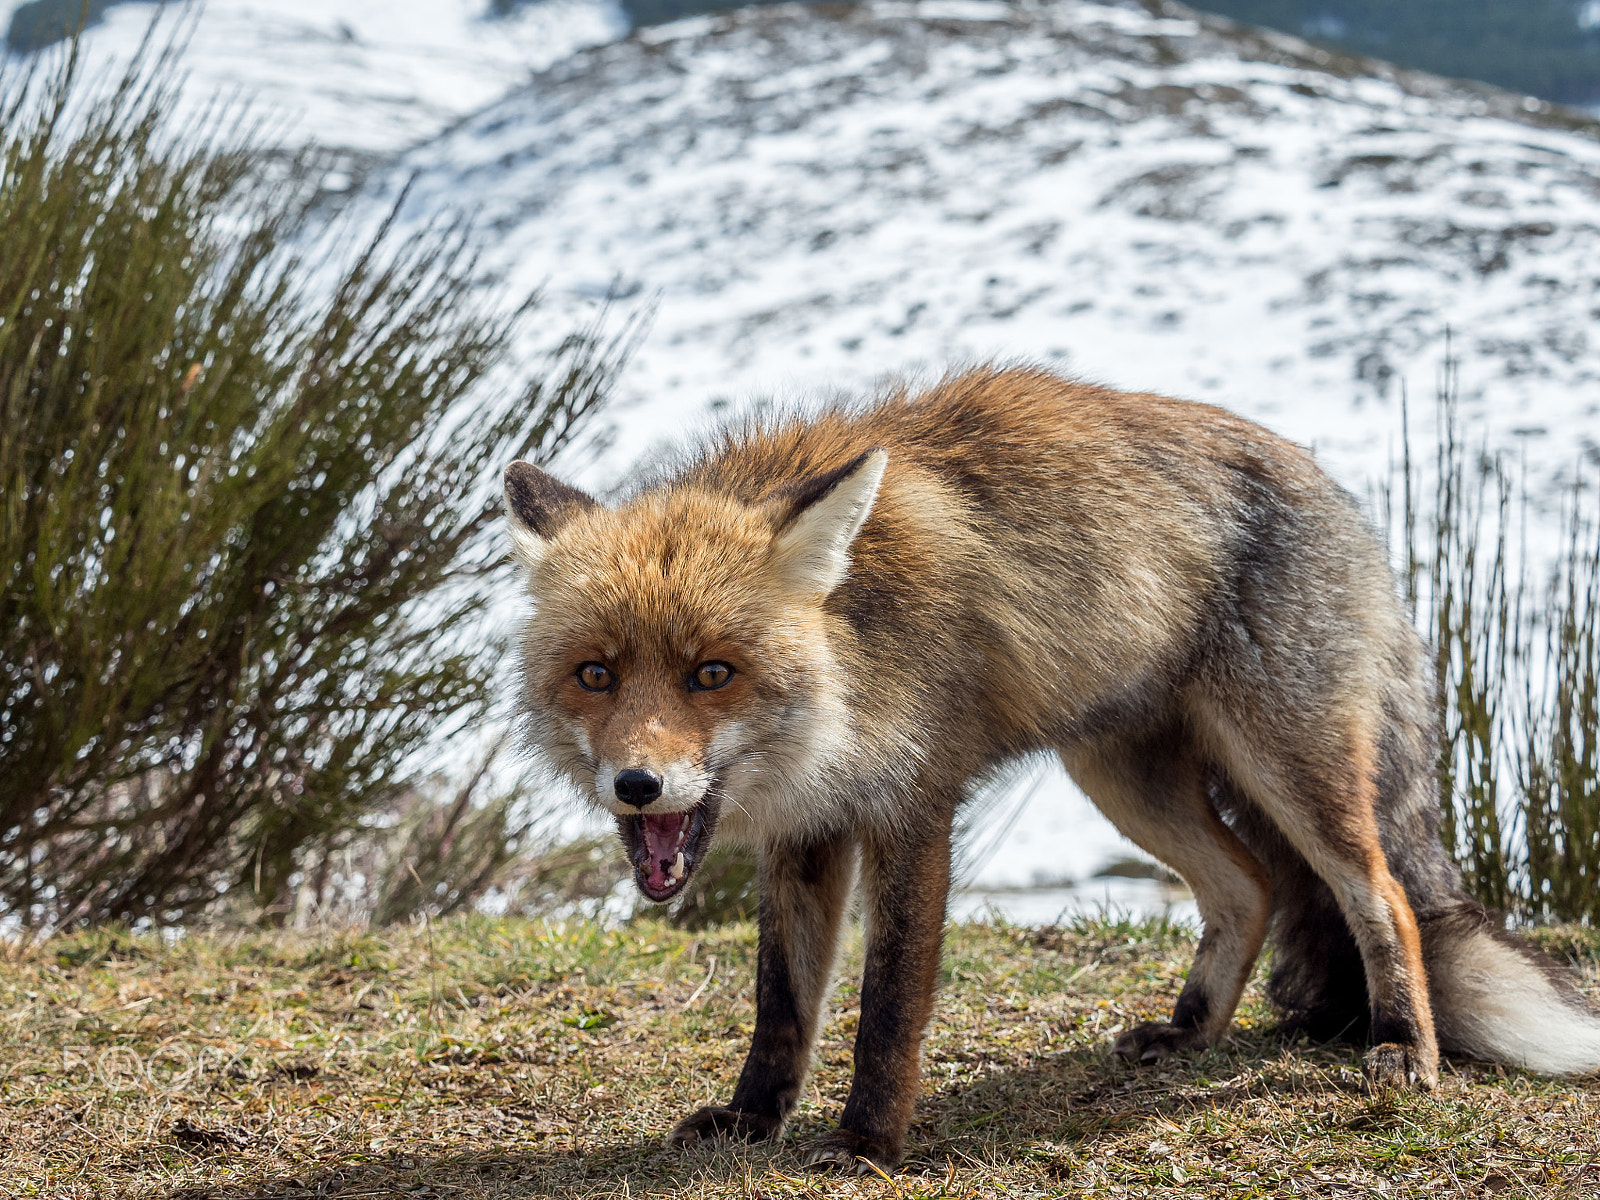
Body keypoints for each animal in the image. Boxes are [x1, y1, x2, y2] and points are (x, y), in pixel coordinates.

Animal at [502, 365, 1600, 1173]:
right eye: (595, 673)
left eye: (712, 673)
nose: (636, 786)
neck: (852, 653)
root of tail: (1335, 490)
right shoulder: (808, 830)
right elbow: (782, 1006)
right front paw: (752, 1121)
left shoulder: (914, 806)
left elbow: (888, 1008)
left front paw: (867, 1143)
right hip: (1120, 776)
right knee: (1245, 886)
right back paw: (1189, 1033)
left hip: (1291, 766)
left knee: (1382, 896)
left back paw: (1403, 1045)